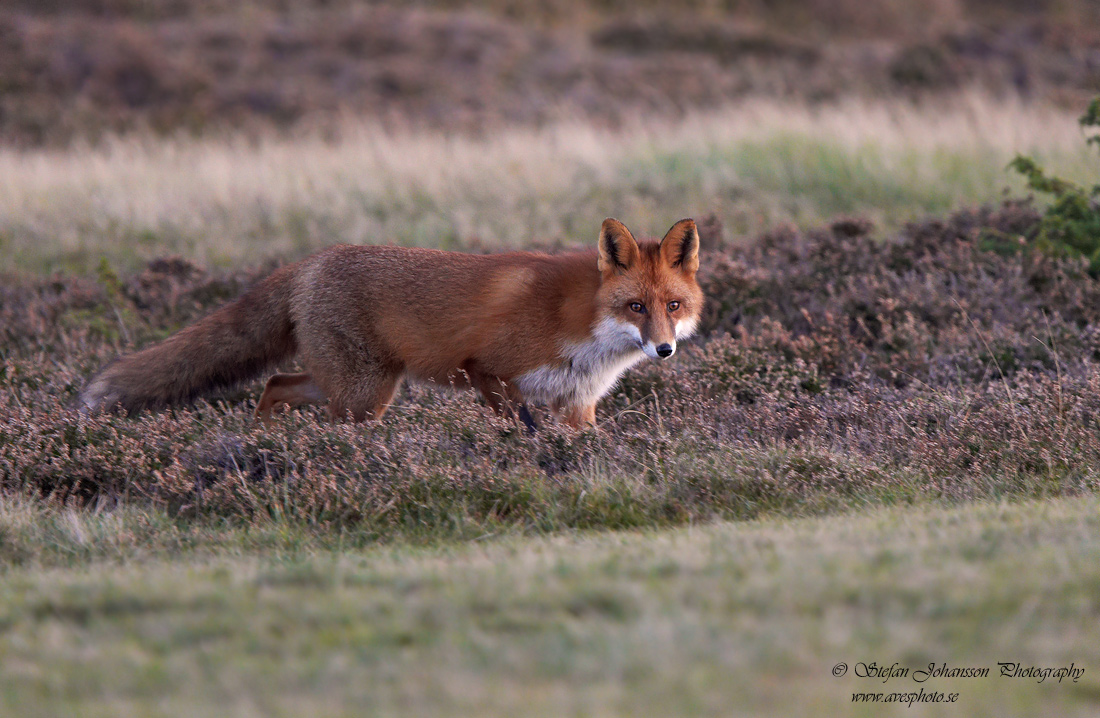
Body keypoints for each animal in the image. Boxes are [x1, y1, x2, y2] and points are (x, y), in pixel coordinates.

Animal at [77, 218, 699, 428]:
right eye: (635, 307)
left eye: (672, 306)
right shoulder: (487, 369)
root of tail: (313, 261)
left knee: (275, 384)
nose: (664, 351)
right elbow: (521, 430)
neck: (584, 327)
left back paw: (261, 445)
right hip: (365, 393)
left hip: (351, 382)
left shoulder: (577, 405)